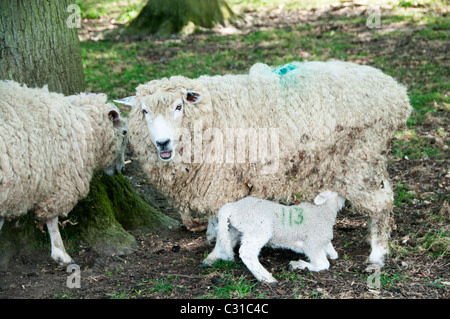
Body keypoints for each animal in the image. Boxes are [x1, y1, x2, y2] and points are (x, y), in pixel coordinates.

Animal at [0, 80, 128, 268]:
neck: (82, 124)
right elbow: (52, 220)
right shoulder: (60, 182)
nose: (122, 169)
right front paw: (61, 254)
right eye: (125, 133)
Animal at [118, 60, 412, 270]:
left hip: (360, 159)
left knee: (382, 204)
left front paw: (218, 250)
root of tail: (399, 95)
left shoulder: (224, 179)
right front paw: (213, 235)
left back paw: (377, 254)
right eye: (144, 111)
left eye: (179, 107)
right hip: (367, 160)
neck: (212, 112)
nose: (162, 143)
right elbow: (216, 216)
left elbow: (222, 216)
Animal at [203, 191, 344, 286]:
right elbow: (323, 264)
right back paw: (267, 278)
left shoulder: (321, 241)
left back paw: (210, 259)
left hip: (239, 229)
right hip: (259, 228)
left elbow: (333, 254)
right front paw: (298, 264)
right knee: (247, 253)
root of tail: (233, 206)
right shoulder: (313, 244)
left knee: (224, 239)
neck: (324, 212)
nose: (344, 200)